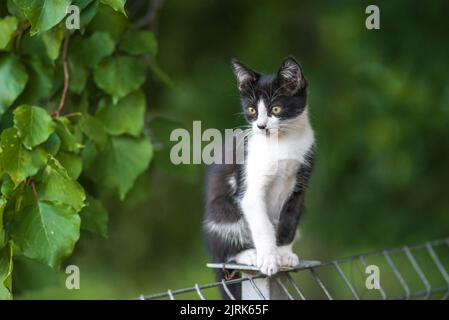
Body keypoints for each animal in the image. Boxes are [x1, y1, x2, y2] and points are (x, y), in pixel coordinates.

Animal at [203, 56, 316, 298]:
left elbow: (289, 220)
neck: (282, 142)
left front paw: (283, 253)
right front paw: (269, 259)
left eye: (276, 108)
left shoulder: (300, 186)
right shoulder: (249, 185)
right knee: (224, 251)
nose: (261, 126)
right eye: (252, 110)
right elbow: (262, 224)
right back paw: (250, 254)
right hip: (222, 211)